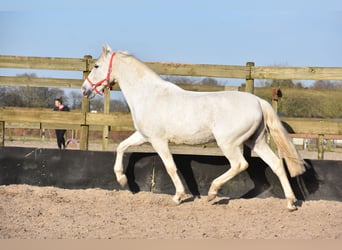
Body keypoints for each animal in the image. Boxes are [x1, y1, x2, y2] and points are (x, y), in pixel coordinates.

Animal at [82, 45, 304, 211]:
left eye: (96, 65)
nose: (85, 89)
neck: (149, 94)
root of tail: (258, 101)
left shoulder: (158, 140)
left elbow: (170, 167)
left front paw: (178, 196)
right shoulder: (143, 136)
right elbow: (121, 147)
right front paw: (121, 179)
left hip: (228, 143)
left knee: (240, 164)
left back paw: (212, 193)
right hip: (256, 141)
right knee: (277, 165)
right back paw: (291, 203)